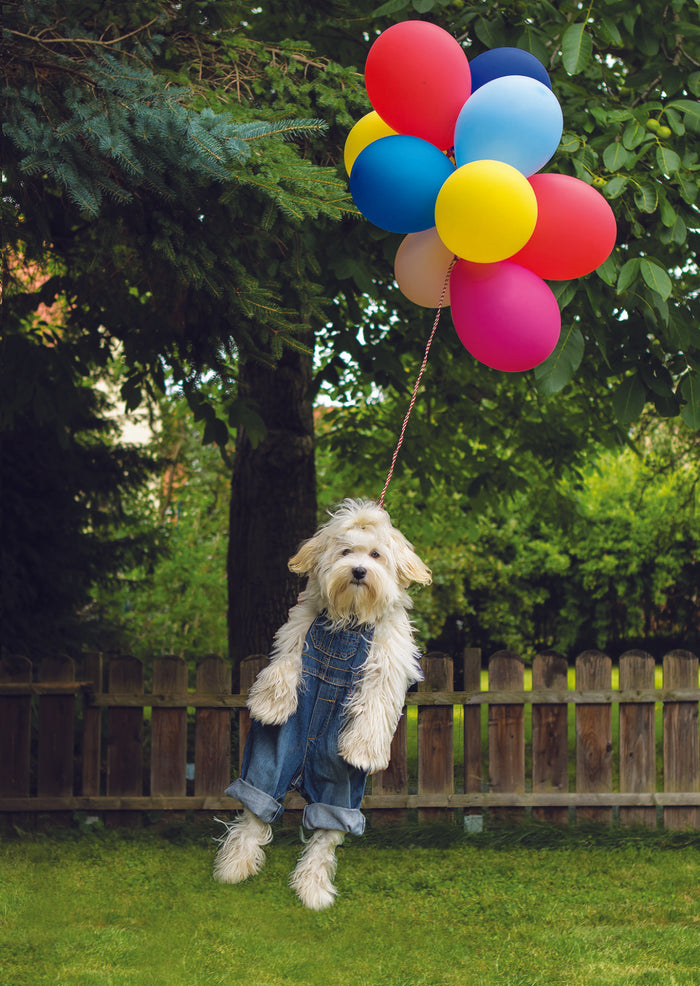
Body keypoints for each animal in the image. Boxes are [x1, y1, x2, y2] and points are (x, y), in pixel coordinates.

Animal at [213, 500, 432, 908]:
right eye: (345, 552)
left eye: (375, 555)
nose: (359, 570)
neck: (350, 621)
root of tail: (302, 773)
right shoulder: (298, 629)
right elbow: (286, 663)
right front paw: (270, 704)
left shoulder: (387, 662)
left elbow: (375, 701)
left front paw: (364, 750)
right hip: (276, 752)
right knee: (258, 798)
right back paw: (236, 863)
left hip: (337, 781)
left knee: (328, 827)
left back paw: (312, 886)